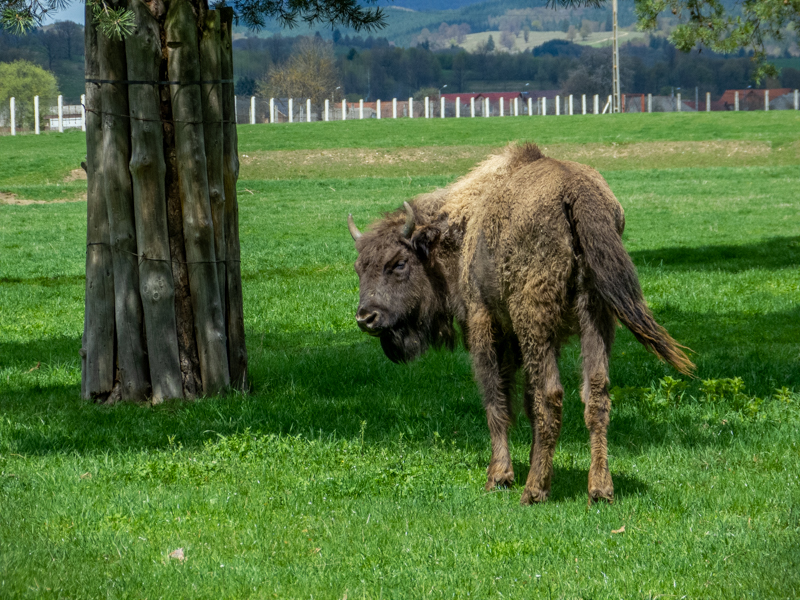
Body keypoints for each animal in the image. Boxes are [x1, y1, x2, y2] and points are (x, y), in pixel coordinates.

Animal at [348, 143, 693, 505]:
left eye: (399, 263)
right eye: (359, 267)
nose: (366, 317)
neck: (463, 227)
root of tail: (576, 193)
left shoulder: (485, 324)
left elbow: (496, 398)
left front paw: (499, 476)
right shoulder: (525, 338)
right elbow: (527, 401)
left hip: (536, 321)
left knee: (551, 396)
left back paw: (534, 490)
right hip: (595, 319)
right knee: (596, 394)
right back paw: (599, 489)